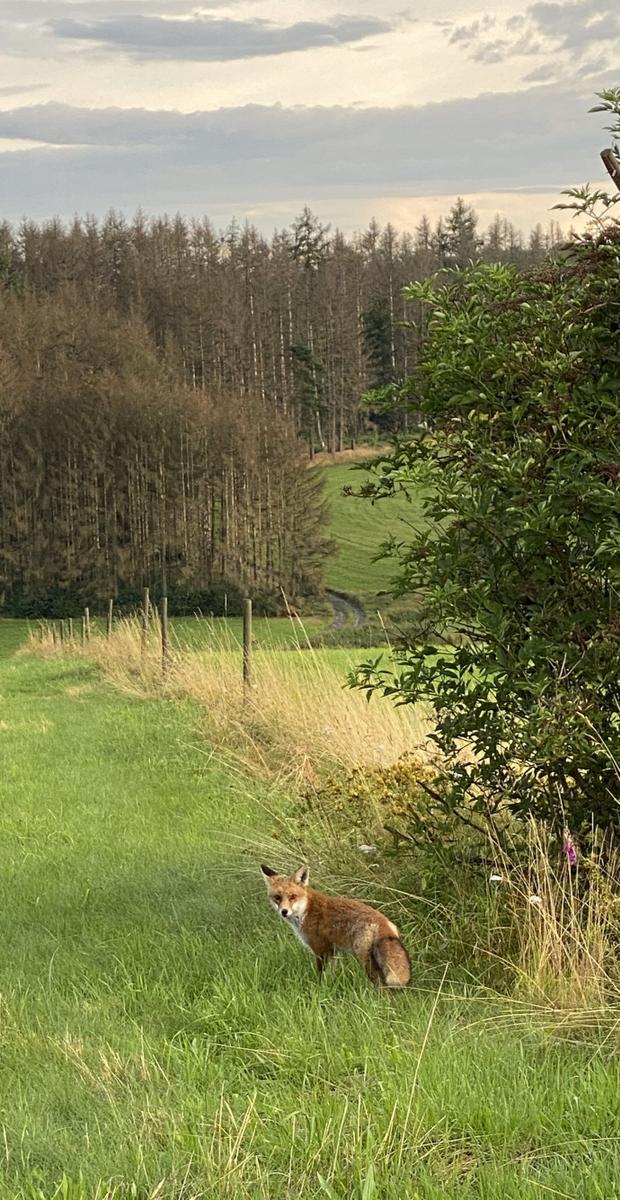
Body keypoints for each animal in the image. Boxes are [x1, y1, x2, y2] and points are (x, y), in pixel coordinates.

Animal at [260, 864, 411, 988]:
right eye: (277, 897)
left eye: (292, 897)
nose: (284, 911)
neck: (306, 909)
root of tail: (383, 921)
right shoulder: (332, 951)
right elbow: (331, 975)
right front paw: (329, 988)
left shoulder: (320, 949)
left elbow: (320, 975)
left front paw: (318, 989)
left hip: (364, 959)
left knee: (380, 983)